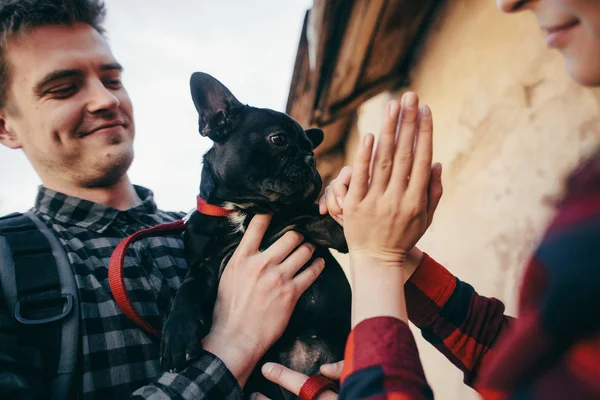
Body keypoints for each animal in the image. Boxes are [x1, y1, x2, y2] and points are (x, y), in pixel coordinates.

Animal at [162, 73, 352, 398]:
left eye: (310, 148)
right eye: (279, 140)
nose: (310, 159)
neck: (243, 210)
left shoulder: (318, 228)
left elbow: (334, 222)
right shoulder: (204, 266)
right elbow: (187, 287)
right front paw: (177, 332)